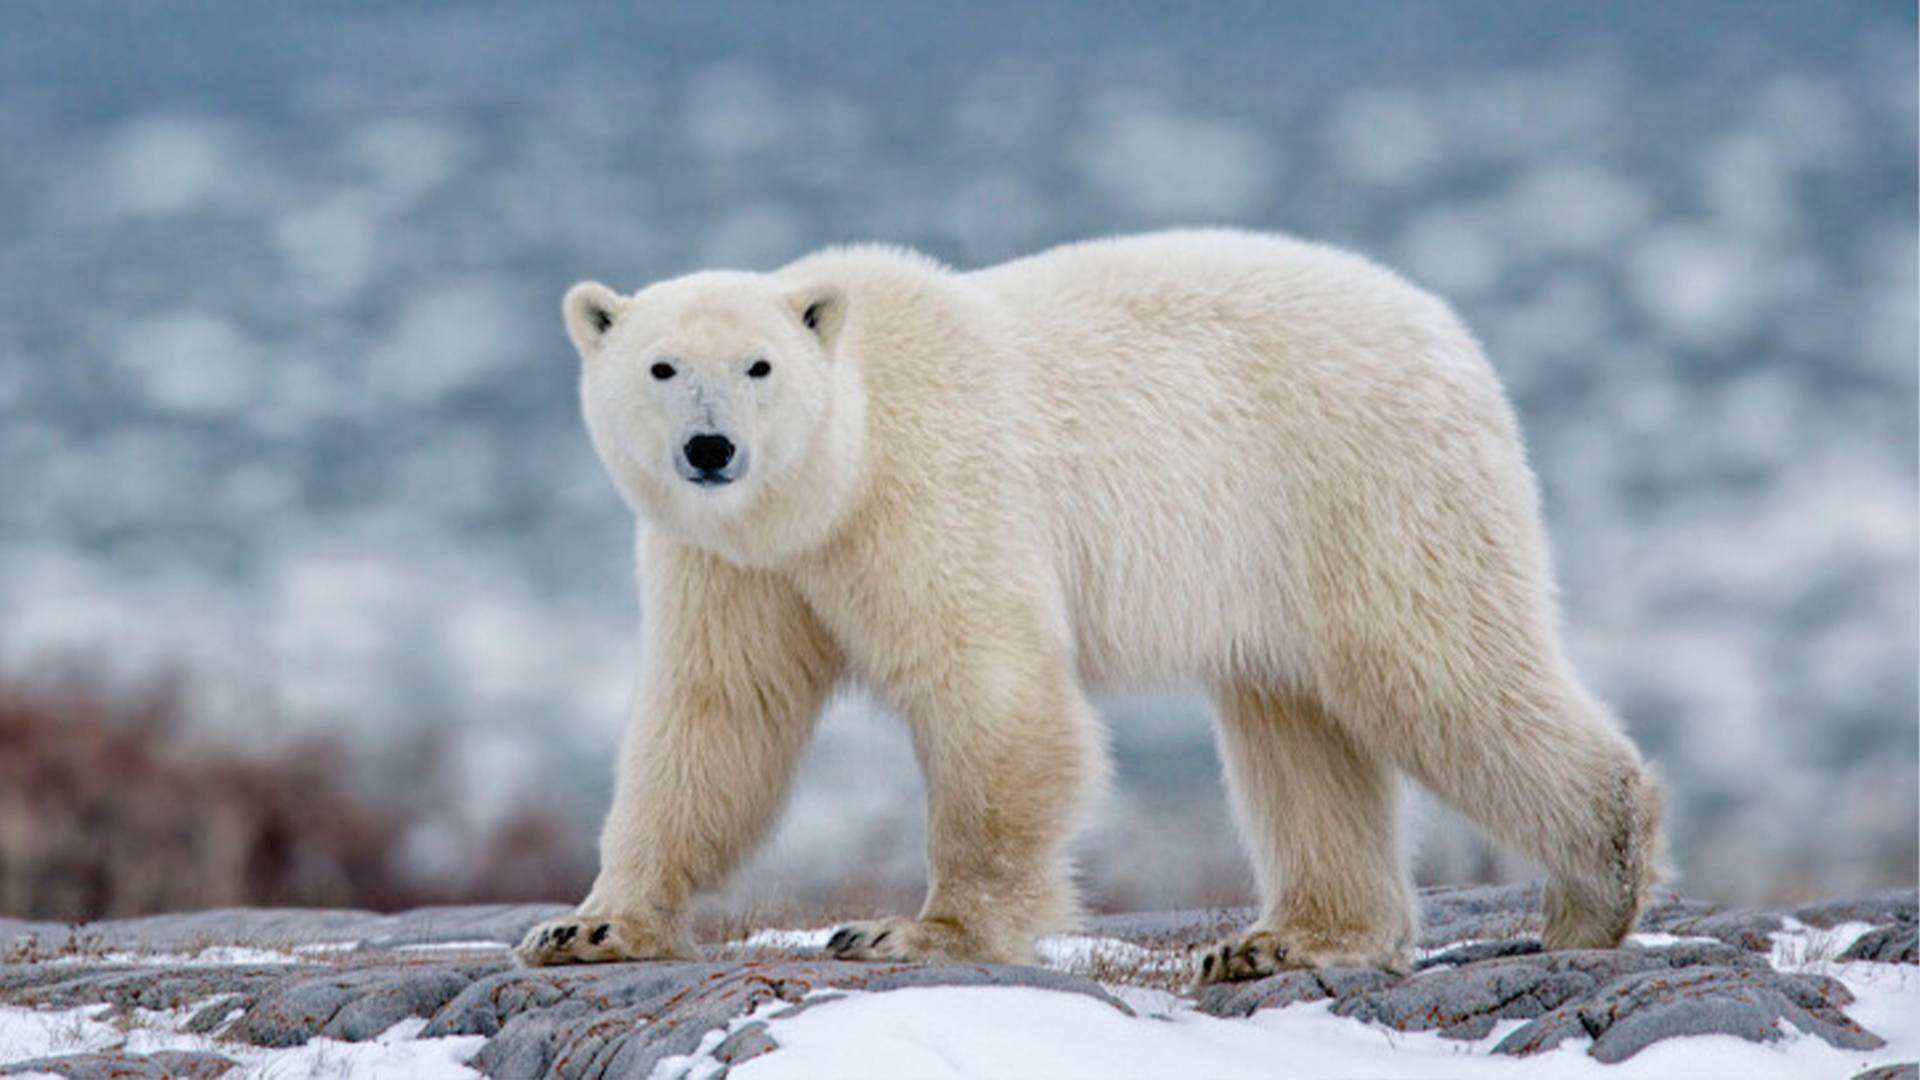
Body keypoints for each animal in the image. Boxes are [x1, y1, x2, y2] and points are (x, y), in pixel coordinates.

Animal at [518, 228, 1658, 983]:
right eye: (662, 366)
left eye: (758, 366)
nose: (711, 449)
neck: (837, 473)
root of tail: (1451, 334)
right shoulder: (733, 563)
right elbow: (717, 717)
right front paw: (588, 928)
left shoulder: (931, 492)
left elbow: (991, 691)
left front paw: (912, 932)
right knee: (1296, 726)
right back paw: (1284, 938)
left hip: (1366, 486)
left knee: (1438, 671)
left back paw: (1597, 885)